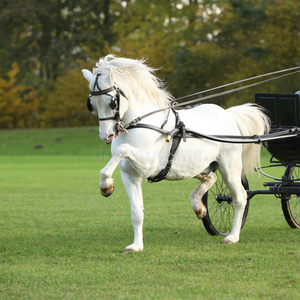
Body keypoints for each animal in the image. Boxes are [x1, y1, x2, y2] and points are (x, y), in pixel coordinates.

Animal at [82, 55, 270, 252]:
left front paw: (105, 186)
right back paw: (199, 207)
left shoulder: (148, 164)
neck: (142, 123)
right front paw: (136, 245)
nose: (106, 135)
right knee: (211, 178)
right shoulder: (130, 176)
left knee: (240, 197)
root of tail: (227, 114)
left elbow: (122, 150)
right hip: (196, 167)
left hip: (229, 168)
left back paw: (232, 236)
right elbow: (136, 212)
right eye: (91, 104)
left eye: (113, 102)